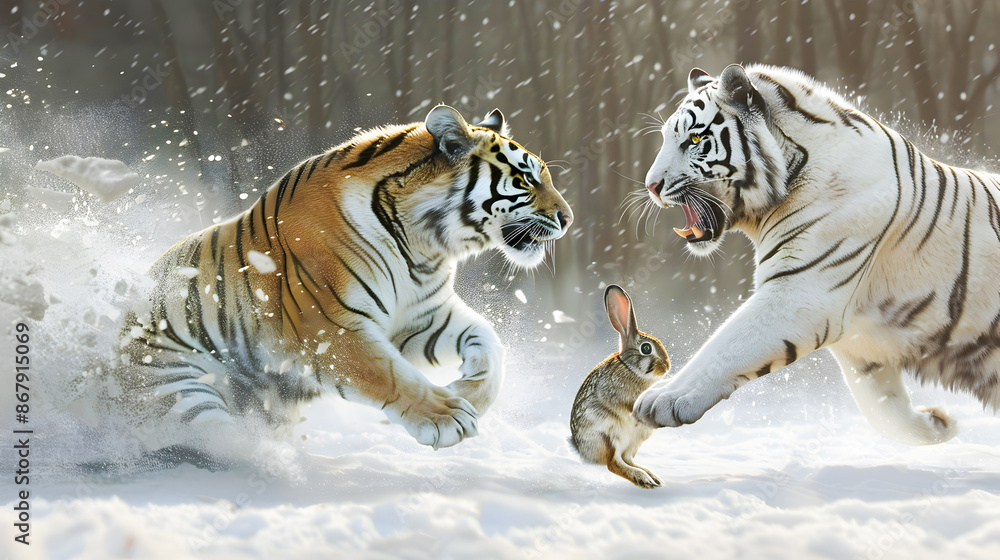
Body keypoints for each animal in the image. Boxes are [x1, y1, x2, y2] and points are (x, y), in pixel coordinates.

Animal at [104, 105, 573, 459]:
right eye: (526, 179)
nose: (568, 219)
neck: (426, 245)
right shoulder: (330, 327)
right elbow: (389, 375)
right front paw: (447, 417)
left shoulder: (420, 318)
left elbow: (489, 341)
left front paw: (469, 395)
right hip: (180, 392)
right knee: (216, 437)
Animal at [570, 284, 670, 488]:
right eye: (646, 348)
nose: (667, 366)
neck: (629, 367)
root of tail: (583, 452)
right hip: (607, 434)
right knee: (613, 463)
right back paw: (642, 479)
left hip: (635, 439)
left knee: (627, 459)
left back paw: (653, 477)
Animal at [634, 64, 1000, 445]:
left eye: (693, 140)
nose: (651, 186)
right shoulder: (862, 343)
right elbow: (885, 413)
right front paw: (940, 423)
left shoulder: (799, 294)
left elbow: (726, 344)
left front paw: (664, 398)